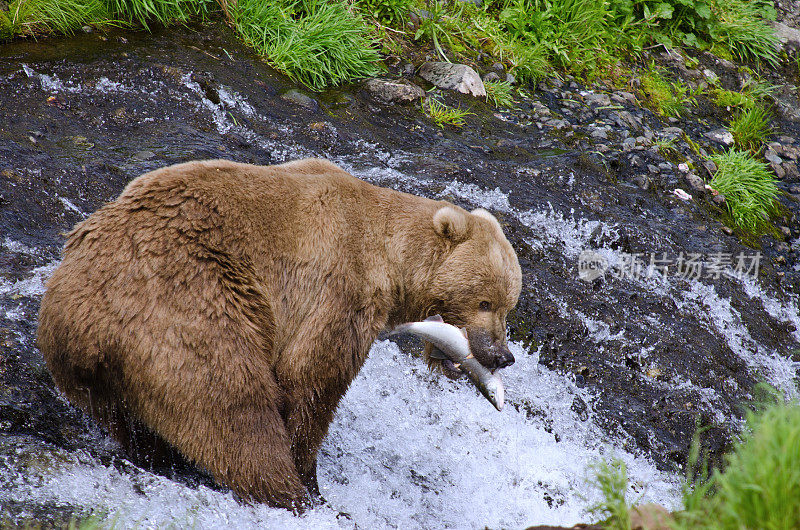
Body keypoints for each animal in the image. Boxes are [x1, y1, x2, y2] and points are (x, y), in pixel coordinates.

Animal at [37, 157, 524, 508]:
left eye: (509, 304)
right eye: (486, 301)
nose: (502, 356)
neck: (391, 259)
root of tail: (86, 321)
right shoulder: (337, 289)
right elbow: (311, 381)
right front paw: (311, 477)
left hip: (91, 368)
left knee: (130, 420)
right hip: (188, 302)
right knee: (233, 407)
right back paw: (290, 495)